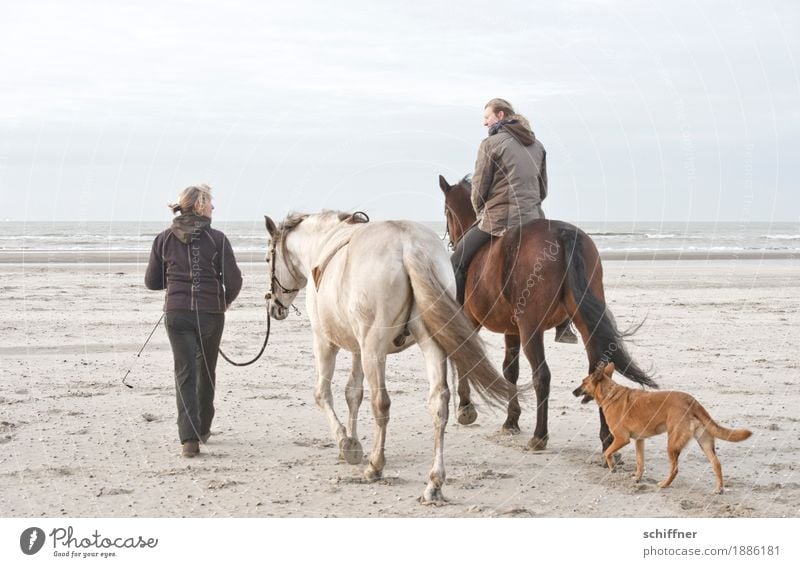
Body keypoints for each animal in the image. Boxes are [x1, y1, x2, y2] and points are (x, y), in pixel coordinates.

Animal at [262, 211, 512, 504]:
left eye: (267, 259)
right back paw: (434, 482)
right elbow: (353, 393)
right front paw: (353, 441)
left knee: (381, 404)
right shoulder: (357, 348)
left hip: (374, 350)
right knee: (438, 402)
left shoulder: (326, 342)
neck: (321, 243)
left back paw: (375, 466)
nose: (274, 307)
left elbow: (323, 394)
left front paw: (345, 443)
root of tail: (409, 245)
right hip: (430, 343)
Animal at [438, 175, 656, 454]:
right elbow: (510, 370)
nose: (450, 240)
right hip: (584, 323)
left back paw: (539, 436)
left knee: (542, 375)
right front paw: (511, 420)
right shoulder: (511, 330)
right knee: (597, 372)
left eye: (446, 210)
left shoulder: (471, 321)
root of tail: (561, 233)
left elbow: (466, 357)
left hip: (531, 327)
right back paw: (607, 441)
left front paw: (466, 409)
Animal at [576, 364, 752, 492]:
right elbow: (640, 463)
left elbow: (607, 452)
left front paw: (612, 467)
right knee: (716, 464)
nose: (573, 392)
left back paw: (664, 484)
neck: (610, 394)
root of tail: (692, 401)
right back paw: (719, 489)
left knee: (675, 470)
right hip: (704, 443)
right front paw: (637, 478)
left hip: (672, 445)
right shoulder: (639, 441)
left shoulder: (621, 439)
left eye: (583, 382)